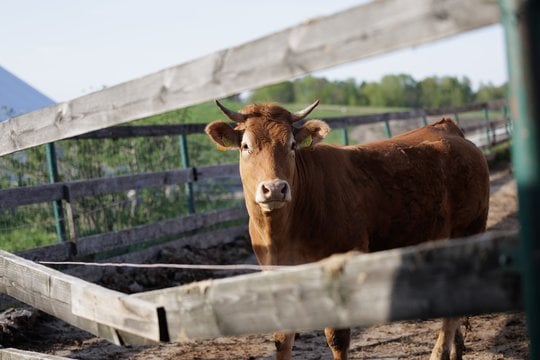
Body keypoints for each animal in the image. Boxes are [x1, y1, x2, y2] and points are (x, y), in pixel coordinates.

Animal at [206, 99, 490, 360]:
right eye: (246, 146)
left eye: (292, 145)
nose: (275, 188)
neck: (283, 231)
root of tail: (449, 129)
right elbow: (282, 338)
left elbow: (337, 338)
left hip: (468, 231)